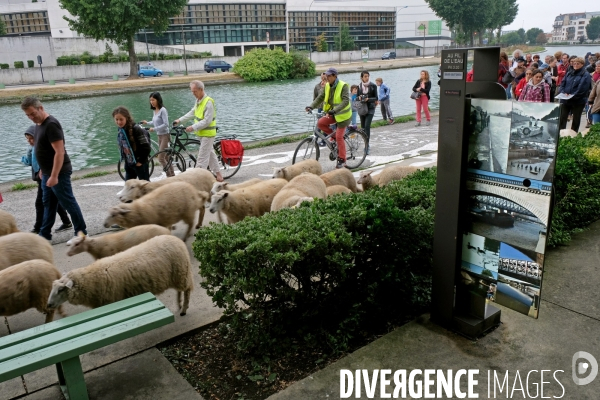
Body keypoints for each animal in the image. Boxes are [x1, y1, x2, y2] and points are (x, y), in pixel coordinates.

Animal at [49, 234, 195, 316]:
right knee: (179, 290)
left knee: (187, 290)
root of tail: (177, 239)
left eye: (61, 289)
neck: (92, 280)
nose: (49, 305)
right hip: (177, 275)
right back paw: (179, 304)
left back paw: (184, 309)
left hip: (182, 272)